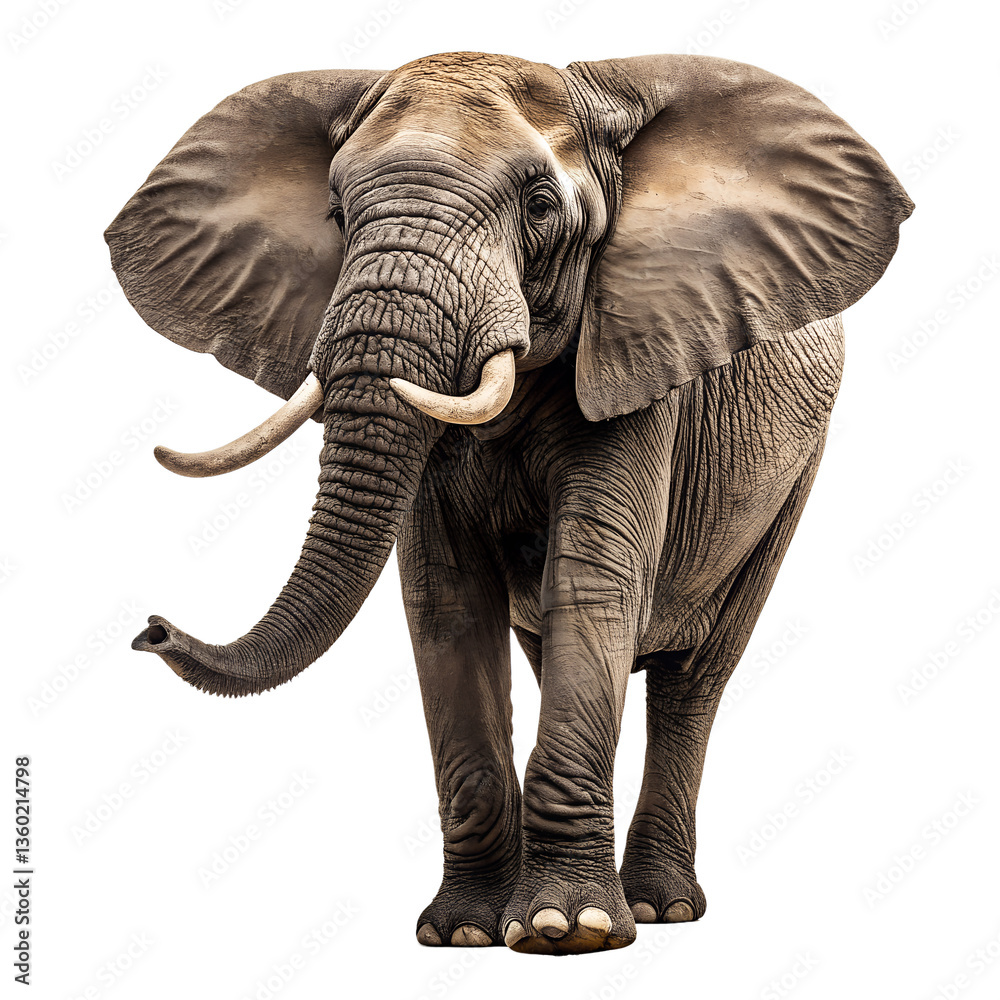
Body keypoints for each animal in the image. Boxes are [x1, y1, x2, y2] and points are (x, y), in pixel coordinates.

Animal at [106, 51, 912, 955]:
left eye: (539, 206)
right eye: (336, 212)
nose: (151, 628)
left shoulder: (636, 355)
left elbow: (590, 584)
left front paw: (569, 930)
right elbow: (449, 604)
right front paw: (464, 931)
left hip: (790, 477)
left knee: (693, 678)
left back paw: (659, 908)